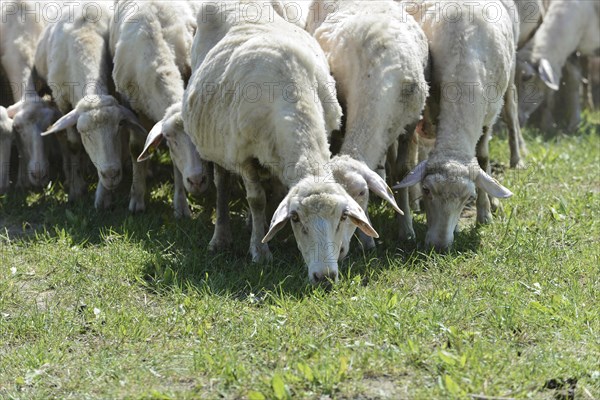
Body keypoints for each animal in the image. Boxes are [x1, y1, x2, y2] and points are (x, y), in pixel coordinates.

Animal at [35, 1, 150, 211]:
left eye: (118, 126)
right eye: (84, 133)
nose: (111, 174)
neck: (84, 37)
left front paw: (103, 195)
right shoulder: (62, 102)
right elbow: (73, 146)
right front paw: (76, 189)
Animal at [109, 0, 210, 219]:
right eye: (170, 138)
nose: (197, 181)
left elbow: (175, 163)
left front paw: (180, 205)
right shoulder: (133, 109)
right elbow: (137, 148)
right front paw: (137, 199)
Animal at [183, 2, 398, 284]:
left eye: (342, 216)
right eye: (296, 218)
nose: (324, 277)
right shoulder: (244, 156)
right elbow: (256, 200)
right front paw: (260, 251)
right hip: (218, 146)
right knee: (222, 185)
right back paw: (221, 237)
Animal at [394, 0, 516, 250]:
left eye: (468, 197)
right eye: (427, 190)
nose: (439, 246)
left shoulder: (489, 115)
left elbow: (483, 158)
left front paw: (484, 214)